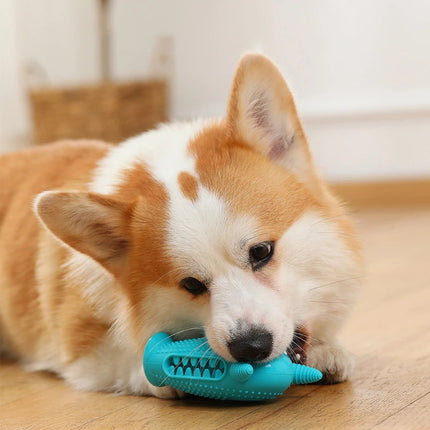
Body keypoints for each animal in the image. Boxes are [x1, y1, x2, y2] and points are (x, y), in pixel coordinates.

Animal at [0, 55, 362, 398]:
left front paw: (326, 351)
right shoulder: (81, 347)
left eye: (261, 251)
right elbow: (129, 359)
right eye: (191, 284)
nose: (250, 347)